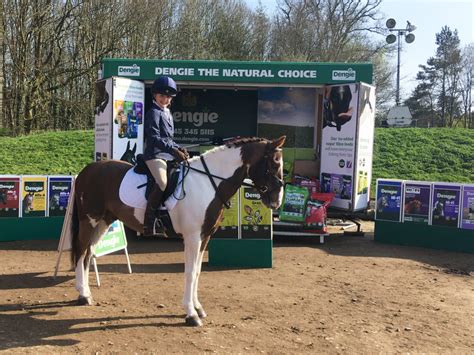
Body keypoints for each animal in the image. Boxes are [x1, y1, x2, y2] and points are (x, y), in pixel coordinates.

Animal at [70, 137, 286, 328]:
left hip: (103, 221)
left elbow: (197, 271)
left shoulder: (204, 236)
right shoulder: (192, 237)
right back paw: (82, 295)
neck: (208, 183)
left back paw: (87, 292)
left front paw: (198, 308)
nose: (276, 201)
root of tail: (87, 170)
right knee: (81, 251)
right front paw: (191, 314)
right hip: (89, 220)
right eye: (274, 163)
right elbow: (189, 272)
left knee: (89, 253)